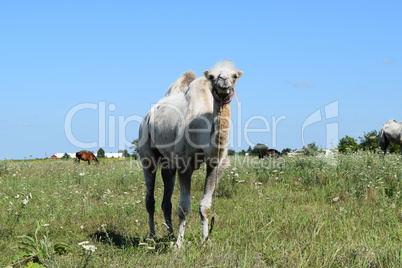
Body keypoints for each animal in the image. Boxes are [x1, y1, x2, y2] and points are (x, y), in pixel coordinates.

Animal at [138, 61, 243, 247]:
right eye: (212, 77)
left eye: (235, 76)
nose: (223, 81)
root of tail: (149, 115)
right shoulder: (185, 165)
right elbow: (184, 208)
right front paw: (179, 245)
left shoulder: (216, 166)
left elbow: (205, 206)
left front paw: (205, 241)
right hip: (146, 150)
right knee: (150, 198)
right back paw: (153, 235)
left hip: (169, 162)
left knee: (166, 201)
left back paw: (170, 234)